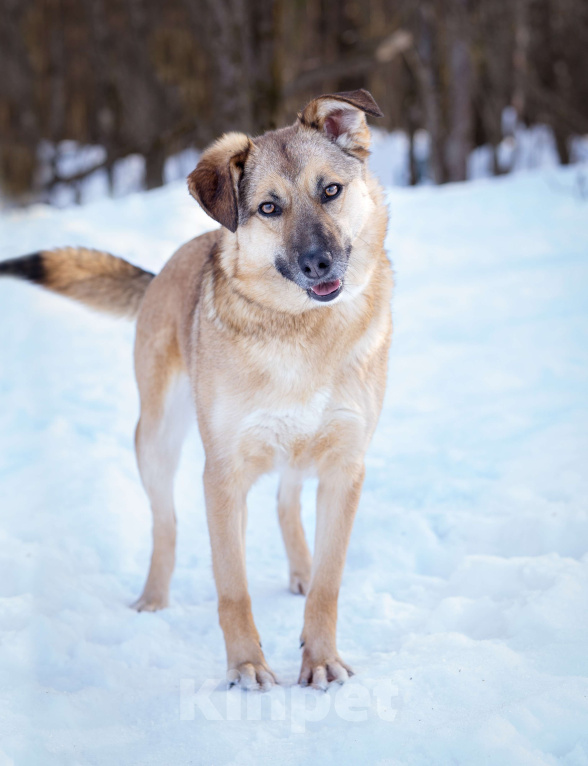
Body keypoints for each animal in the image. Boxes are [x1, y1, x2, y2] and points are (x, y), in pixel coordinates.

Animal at [2, 88, 396, 688]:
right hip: (157, 440)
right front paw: (247, 667)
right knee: (165, 524)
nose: (319, 263)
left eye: (331, 190)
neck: (301, 329)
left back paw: (299, 572)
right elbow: (232, 587)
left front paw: (321, 659)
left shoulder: (344, 467)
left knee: (285, 500)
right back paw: (153, 600)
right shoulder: (224, 475)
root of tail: (168, 266)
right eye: (269, 208)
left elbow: (329, 585)